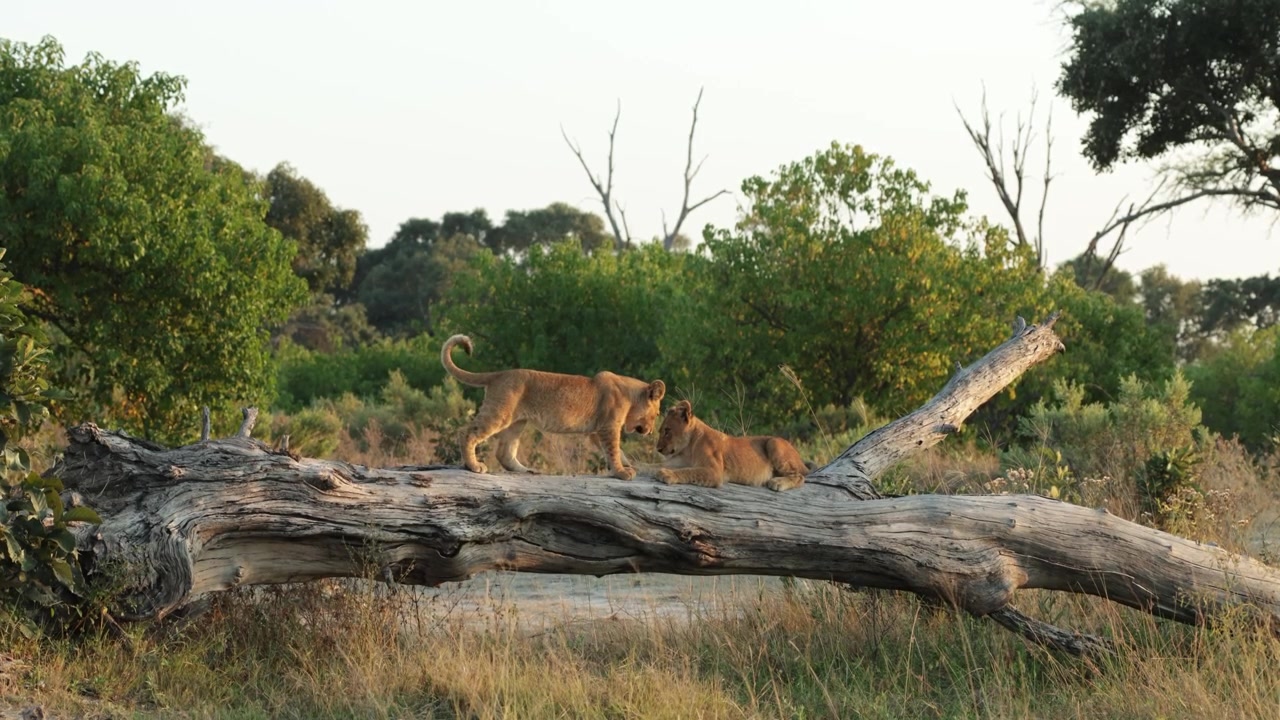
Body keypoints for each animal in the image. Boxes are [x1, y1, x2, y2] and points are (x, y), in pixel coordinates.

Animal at [441, 334, 666, 480]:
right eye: (657, 414)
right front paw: (622, 472)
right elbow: (613, 450)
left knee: (504, 452)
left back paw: (527, 471)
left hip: (517, 421)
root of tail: (499, 373)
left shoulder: (596, 431)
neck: (630, 395)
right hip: (499, 413)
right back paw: (474, 466)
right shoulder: (607, 427)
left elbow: (619, 451)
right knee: (466, 432)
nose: (650, 431)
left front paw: (629, 466)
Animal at [654, 399, 810, 491]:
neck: (688, 448)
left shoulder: (715, 472)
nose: (658, 449)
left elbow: (689, 471)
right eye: (660, 431)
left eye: (667, 430)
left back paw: (777, 483)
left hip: (774, 442)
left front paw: (667, 474)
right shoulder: (679, 462)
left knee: (801, 476)